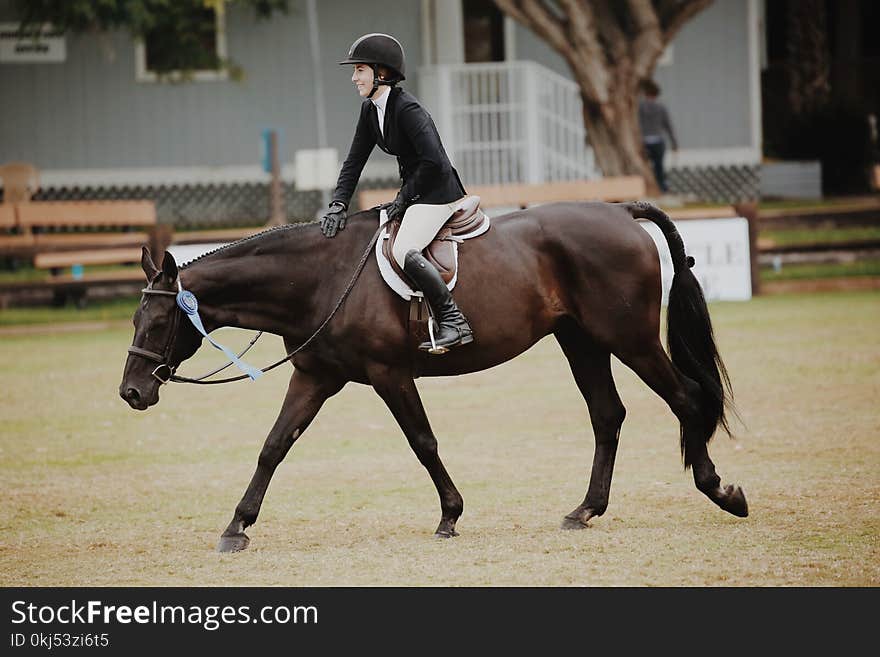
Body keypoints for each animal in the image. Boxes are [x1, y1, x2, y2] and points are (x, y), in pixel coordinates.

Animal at [118, 202, 748, 552]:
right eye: (136, 319)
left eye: (158, 322)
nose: (131, 392)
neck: (320, 279)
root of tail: (619, 212)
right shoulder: (316, 377)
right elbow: (274, 447)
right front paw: (237, 526)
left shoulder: (389, 374)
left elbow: (422, 442)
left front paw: (450, 516)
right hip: (581, 341)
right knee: (607, 415)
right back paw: (586, 509)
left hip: (628, 339)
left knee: (686, 397)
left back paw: (720, 490)